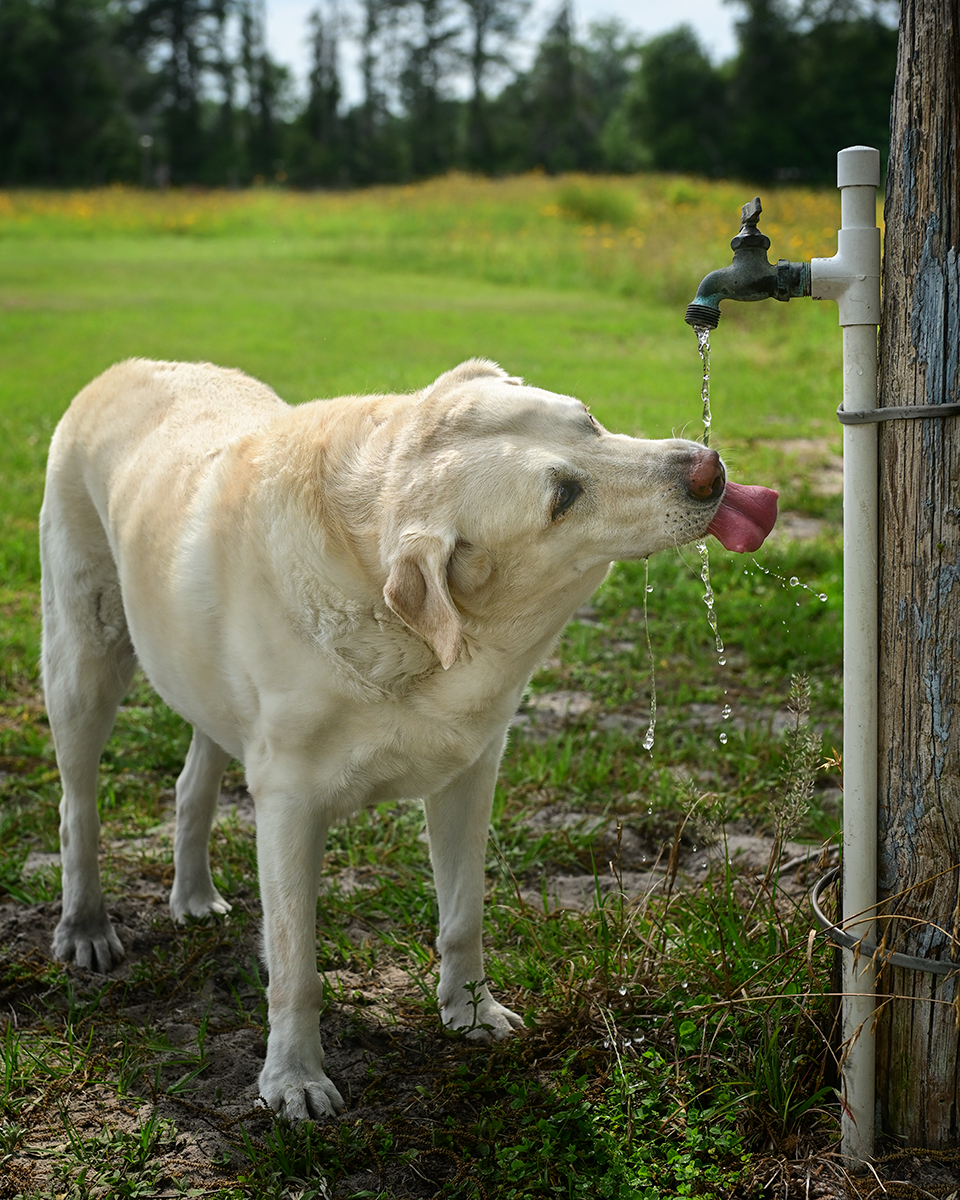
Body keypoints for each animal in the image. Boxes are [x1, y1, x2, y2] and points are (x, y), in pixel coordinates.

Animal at [41, 355, 777, 1113]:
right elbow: (295, 964)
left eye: (590, 421)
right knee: (77, 809)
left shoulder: (470, 773)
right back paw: (86, 928)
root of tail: (128, 365)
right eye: (562, 498)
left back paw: (191, 897)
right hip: (83, 662)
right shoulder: (288, 806)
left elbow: (463, 915)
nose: (710, 469)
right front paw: (294, 1078)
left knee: (192, 784)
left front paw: (472, 1014)